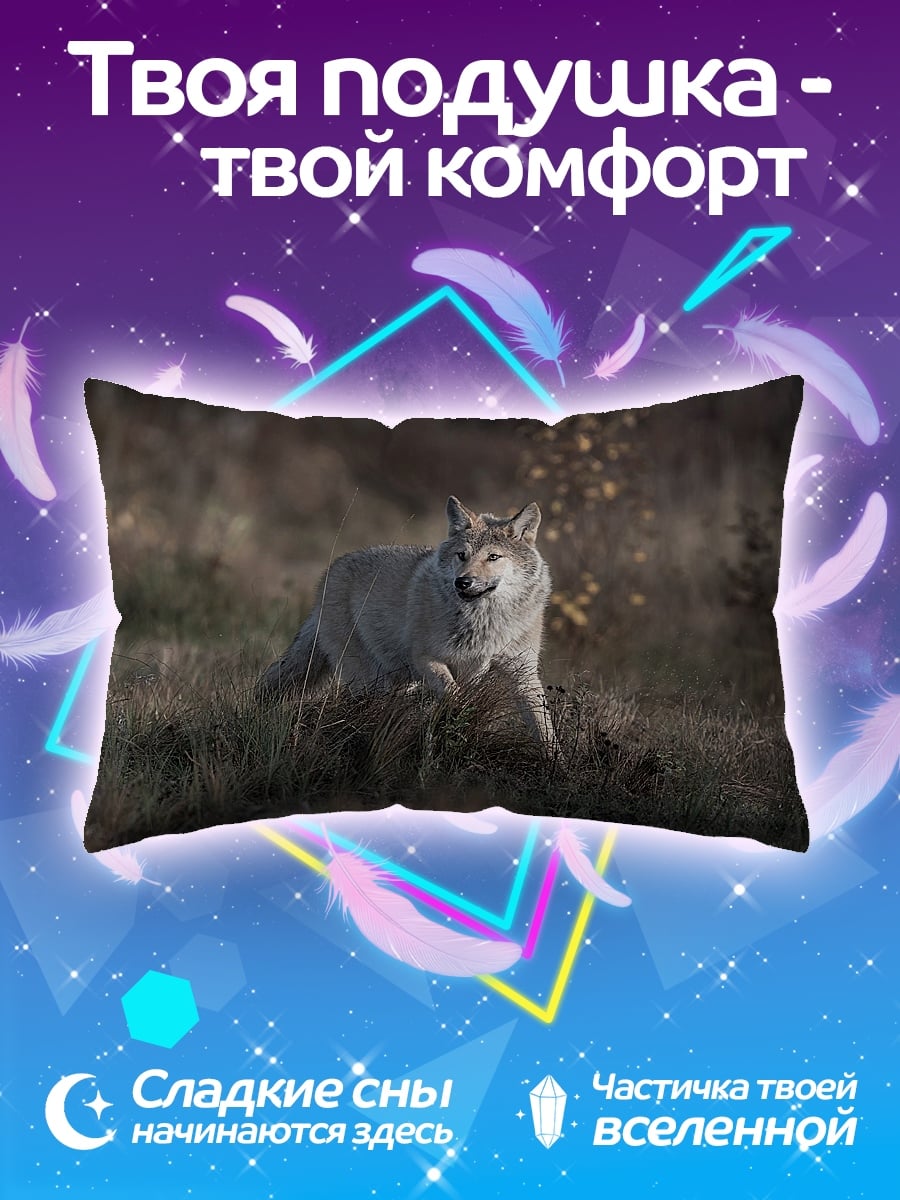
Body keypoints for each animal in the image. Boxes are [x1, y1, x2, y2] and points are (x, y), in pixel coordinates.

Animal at [259, 496, 558, 750]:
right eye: (462, 555)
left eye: (493, 557)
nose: (462, 582)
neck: (486, 622)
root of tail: (327, 576)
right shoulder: (426, 658)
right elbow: (454, 694)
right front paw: (457, 722)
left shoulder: (523, 672)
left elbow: (544, 727)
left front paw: (556, 764)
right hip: (372, 681)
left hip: (398, 683)